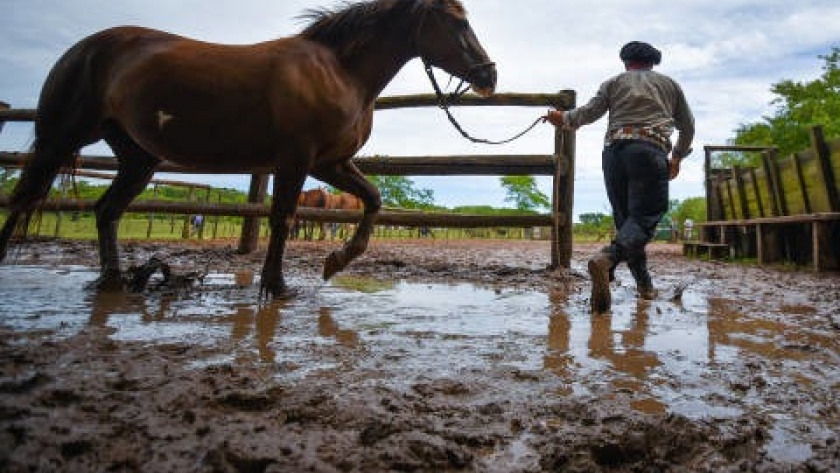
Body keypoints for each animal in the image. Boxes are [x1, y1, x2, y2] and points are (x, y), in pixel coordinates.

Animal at [0, 0, 496, 296]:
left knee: (106, 210)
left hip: (138, 159)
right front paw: (276, 286)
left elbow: (372, 200)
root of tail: (81, 49)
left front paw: (335, 262)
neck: (337, 70)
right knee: (26, 197)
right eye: (457, 20)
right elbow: (284, 218)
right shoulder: (296, 159)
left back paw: (114, 279)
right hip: (63, 136)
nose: (489, 75)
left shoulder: (331, 163)